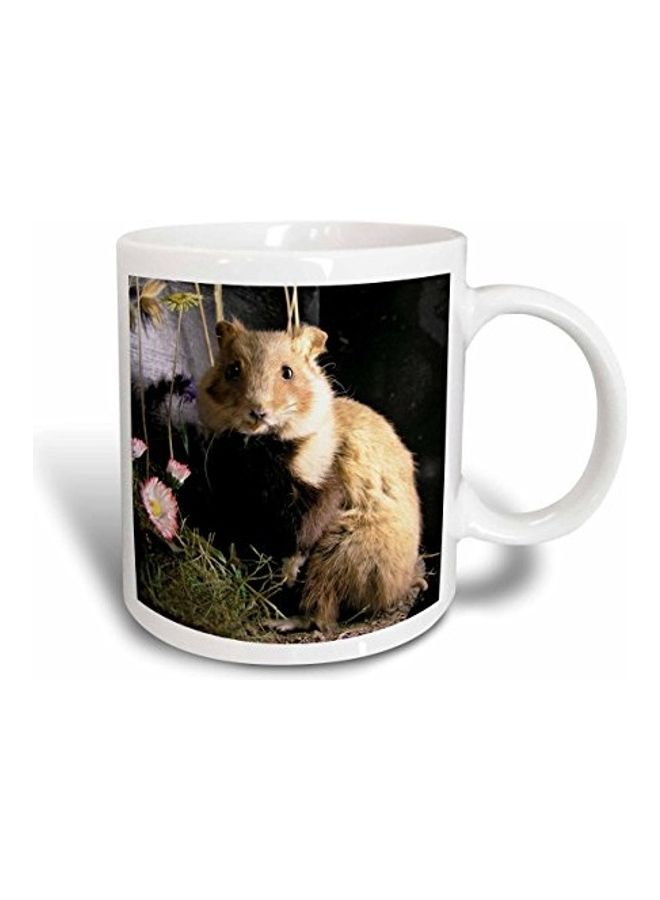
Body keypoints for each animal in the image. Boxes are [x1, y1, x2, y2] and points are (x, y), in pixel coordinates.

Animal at [197, 318, 423, 632]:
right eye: (232, 369)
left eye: (287, 372)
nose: (257, 412)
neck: (261, 448)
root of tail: (401, 587)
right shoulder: (239, 501)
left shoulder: (322, 489)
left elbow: (303, 536)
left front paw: (287, 575)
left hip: (336, 554)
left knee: (322, 615)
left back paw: (279, 621)